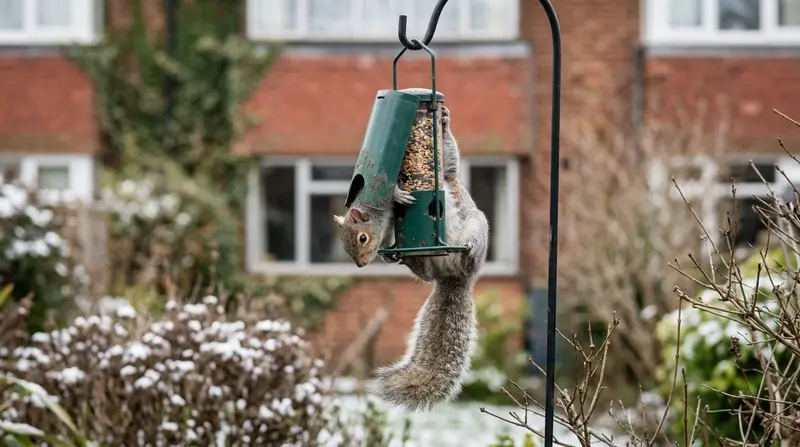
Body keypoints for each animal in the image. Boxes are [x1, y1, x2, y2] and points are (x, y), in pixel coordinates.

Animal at [333, 106, 490, 412]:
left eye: (361, 239)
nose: (361, 265)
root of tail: (455, 278)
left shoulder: (447, 179)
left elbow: (449, 163)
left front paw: (444, 122)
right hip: (430, 265)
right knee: (426, 274)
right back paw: (407, 260)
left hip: (476, 226)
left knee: (470, 250)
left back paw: (470, 250)